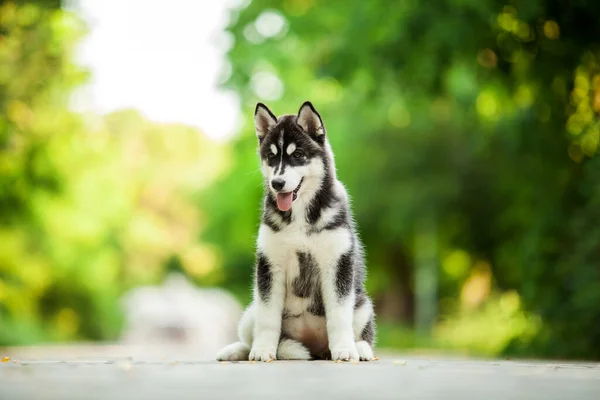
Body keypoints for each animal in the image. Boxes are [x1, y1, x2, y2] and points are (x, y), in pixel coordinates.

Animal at [216, 101, 376, 360]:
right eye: (271, 157)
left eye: (298, 155)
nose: (277, 183)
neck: (300, 214)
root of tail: (314, 347)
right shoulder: (270, 265)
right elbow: (268, 318)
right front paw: (263, 350)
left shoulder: (337, 263)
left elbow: (339, 317)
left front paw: (345, 350)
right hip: (251, 310)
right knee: (250, 335)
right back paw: (235, 351)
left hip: (362, 303)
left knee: (363, 333)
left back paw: (360, 349)